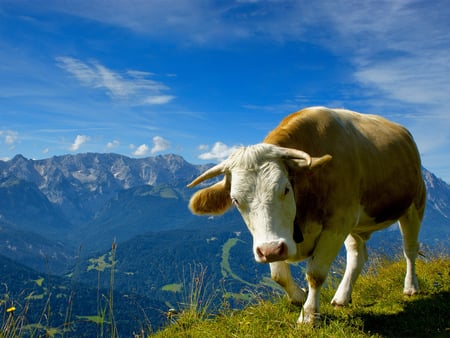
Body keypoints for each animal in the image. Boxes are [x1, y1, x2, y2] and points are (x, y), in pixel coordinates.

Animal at [186, 107, 426, 324]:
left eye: (285, 189)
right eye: (236, 200)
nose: (270, 250)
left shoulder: (337, 224)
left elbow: (315, 274)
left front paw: (309, 315)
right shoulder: (279, 239)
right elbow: (278, 275)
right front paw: (300, 296)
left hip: (415, 205)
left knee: (410, 250)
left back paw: (410, 287)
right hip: (356, 225)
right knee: (357, 255)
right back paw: (342, 297)